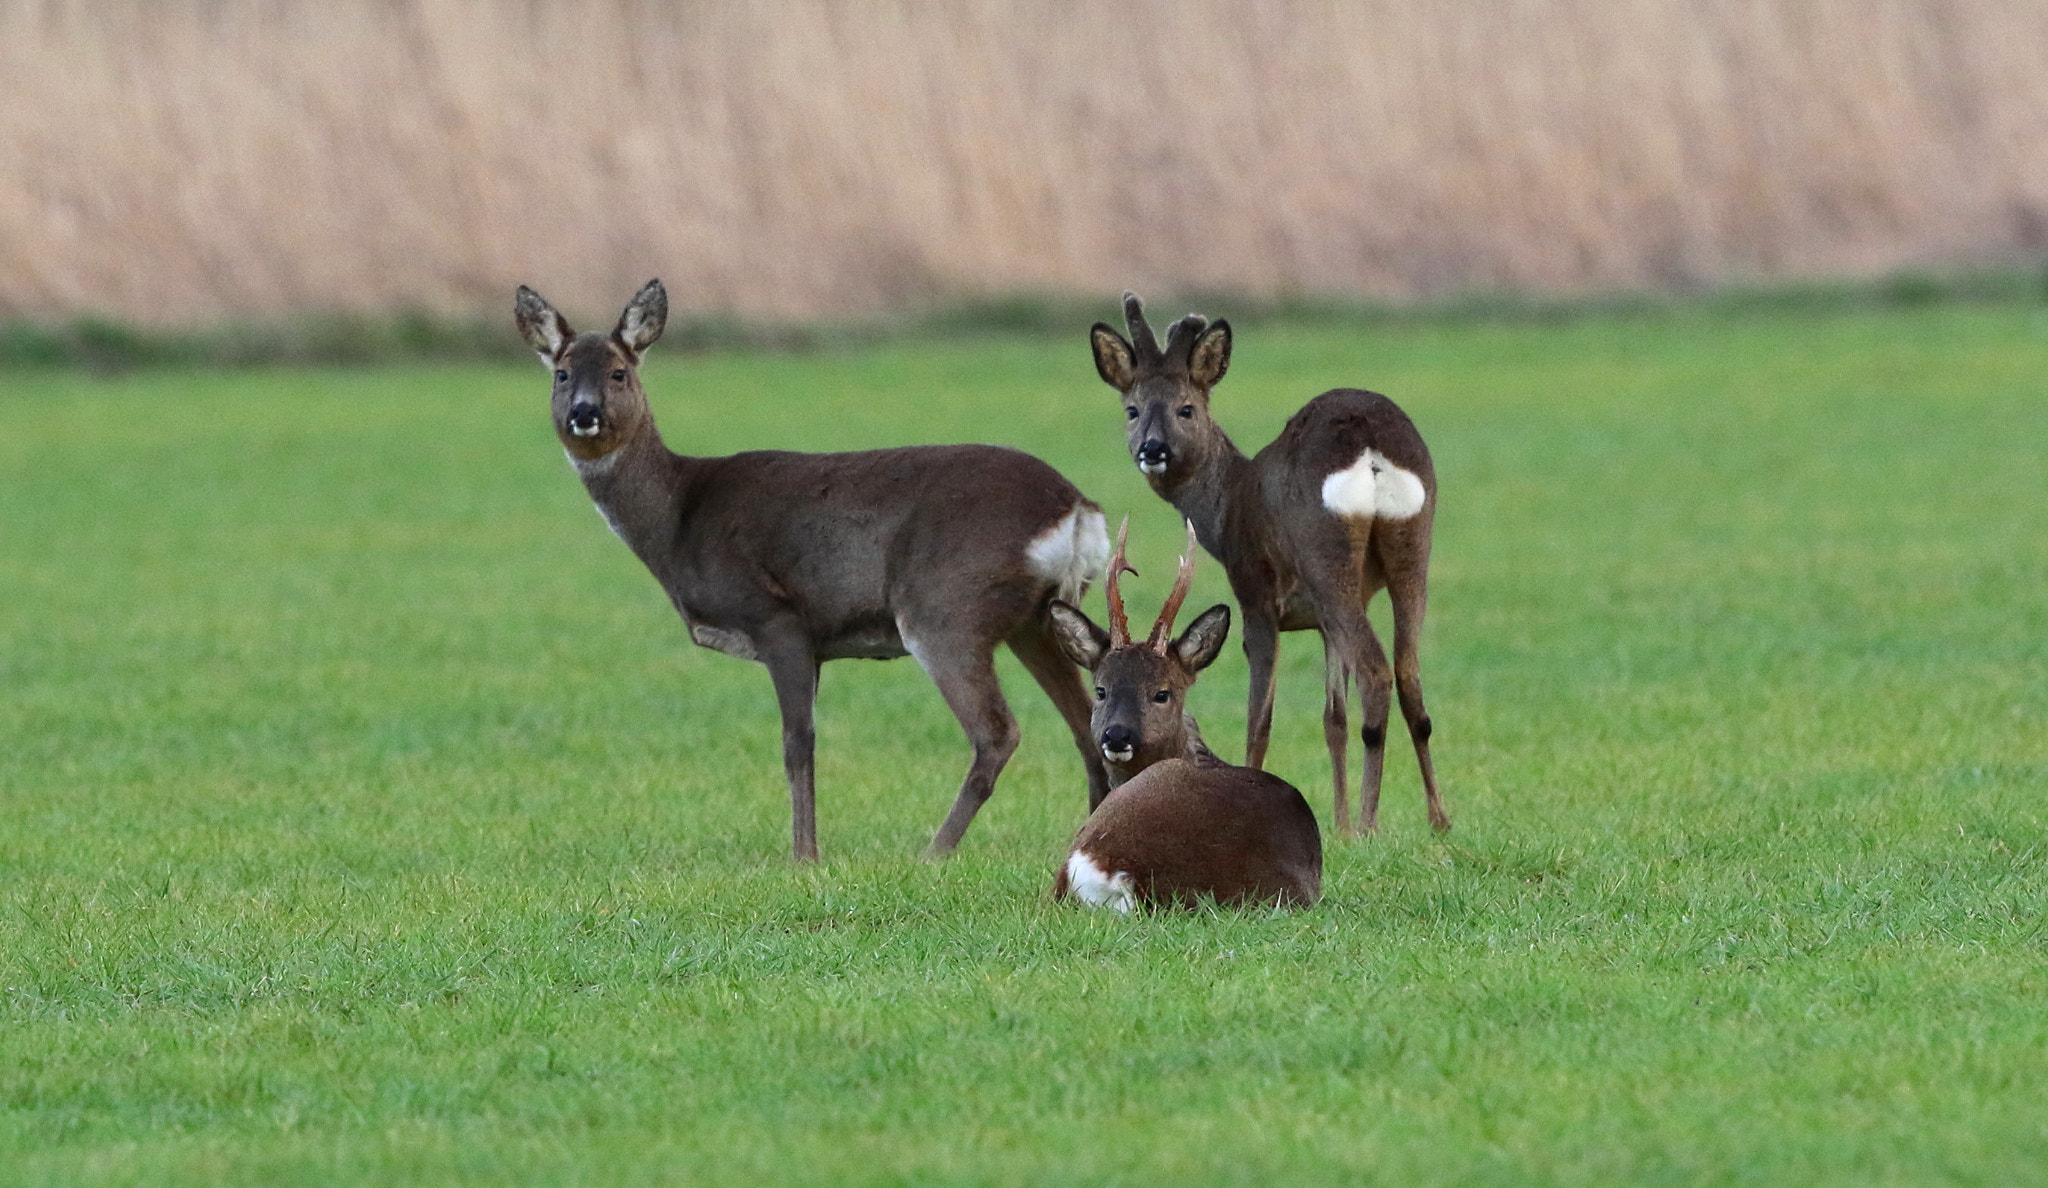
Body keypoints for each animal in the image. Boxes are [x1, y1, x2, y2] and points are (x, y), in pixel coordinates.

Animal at [515, 279, 1114, 861]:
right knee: (1085, 724)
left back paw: (933, 853)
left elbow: (797, 742)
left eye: (619, 371)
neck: (679, 519)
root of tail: (1078, 509)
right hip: (1033, 620)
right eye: (562, 373)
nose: (584, 412)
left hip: (945, 609)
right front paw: (807, 850)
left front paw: (804, 856)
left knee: (997, 732)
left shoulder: (778, 618)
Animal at [1087, 293, 1447, 836]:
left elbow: (1260, 719)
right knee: (1409, 677)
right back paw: (1437, 819)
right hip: (1411, 550)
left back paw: (1371, 822)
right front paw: (1339, 826)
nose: (1153, 449)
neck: (1229, 506)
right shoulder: (1321, 620)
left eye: (1186, 409)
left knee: (1377, 673)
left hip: (1326, 557)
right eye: (1132, 409)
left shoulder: (1255, 592)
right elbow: (1333, 718)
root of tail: (1370, 449)